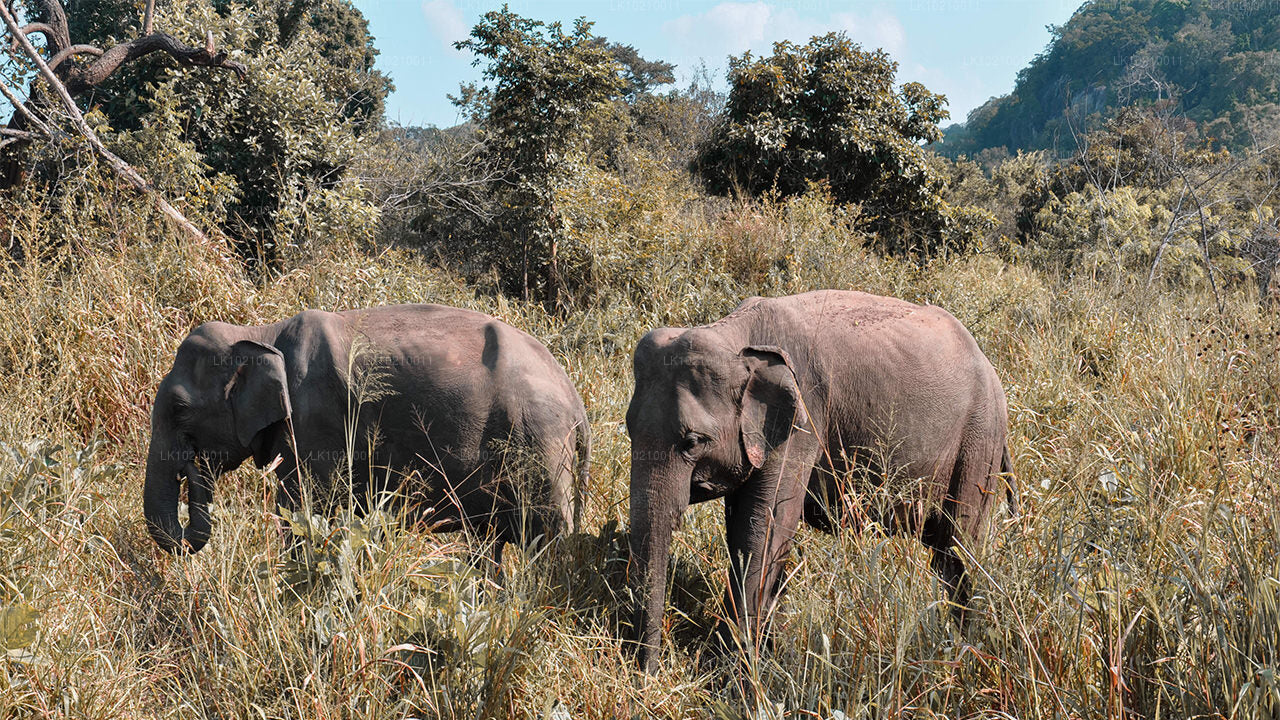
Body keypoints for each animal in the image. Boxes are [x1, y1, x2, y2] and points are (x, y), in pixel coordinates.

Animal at [145, 299, 588, 558]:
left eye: (180, 408)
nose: (192, 466)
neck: (259, 334)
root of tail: (575, 396)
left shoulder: (317, 422)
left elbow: (301, 510)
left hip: (541, 445)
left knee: (546, 536)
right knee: (490, 542)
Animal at [624, 288, 1013, 671]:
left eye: (692, 442)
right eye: (628, 431)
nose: (649, 673)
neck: (733, 334)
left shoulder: (802, 420)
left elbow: (763, 526)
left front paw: (731, 667)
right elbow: (745, 526)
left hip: (980, 438)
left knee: (959, 547)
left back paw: (967, 651)